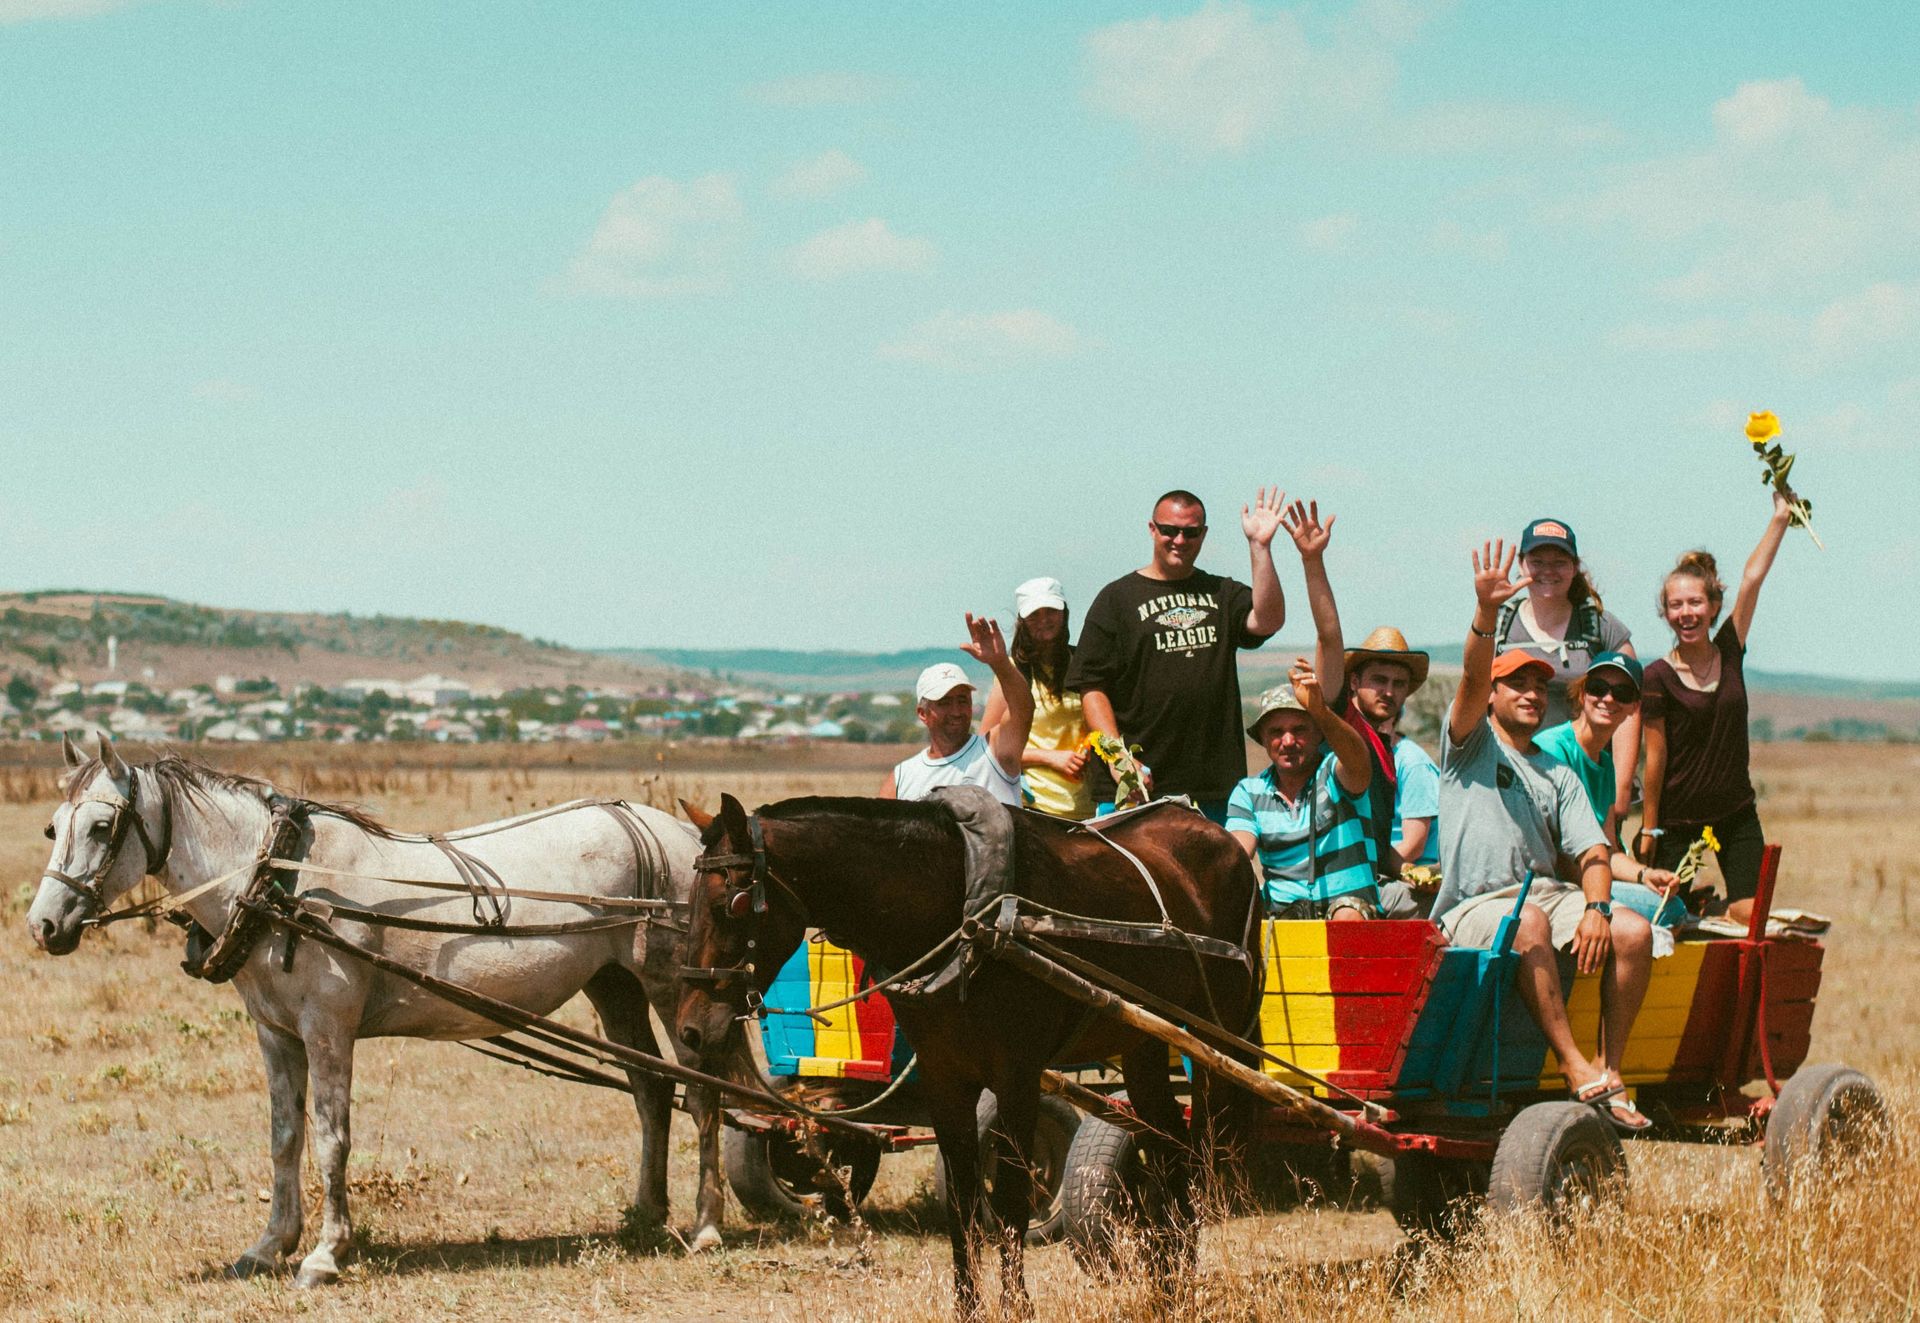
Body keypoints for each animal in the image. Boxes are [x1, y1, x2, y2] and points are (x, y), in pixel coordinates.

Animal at [675, 791, 1259, 1313]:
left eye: (730, 904)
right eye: (689, 903)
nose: (690, 1031)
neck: (962, 910)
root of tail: (1217, 834)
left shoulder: (1018, 1076)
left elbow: (1012, 1198)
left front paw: (1017, 1305)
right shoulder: (944, 1075)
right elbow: (961, 1203)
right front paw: (968, 1307)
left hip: (1216, 1043)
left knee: (1201, 1141)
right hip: (1144, 1042)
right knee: (1168, 1143)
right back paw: (1170, 1282)